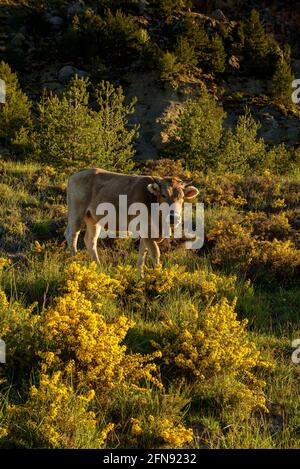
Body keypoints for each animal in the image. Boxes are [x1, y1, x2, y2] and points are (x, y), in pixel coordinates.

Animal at [64, 168, 198, 274]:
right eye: (164, 195)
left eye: (182, 197)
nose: (173, 217)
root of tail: (77, 173)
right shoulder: (145, 229)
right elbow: (155, 253)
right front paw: (159, 276)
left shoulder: (147, 232)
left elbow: (142, 254)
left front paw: (140, 276)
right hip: (76, 212)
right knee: (72, 235)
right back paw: (75, 263)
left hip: (92, 218)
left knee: (90, 240)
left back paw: (98, 267)